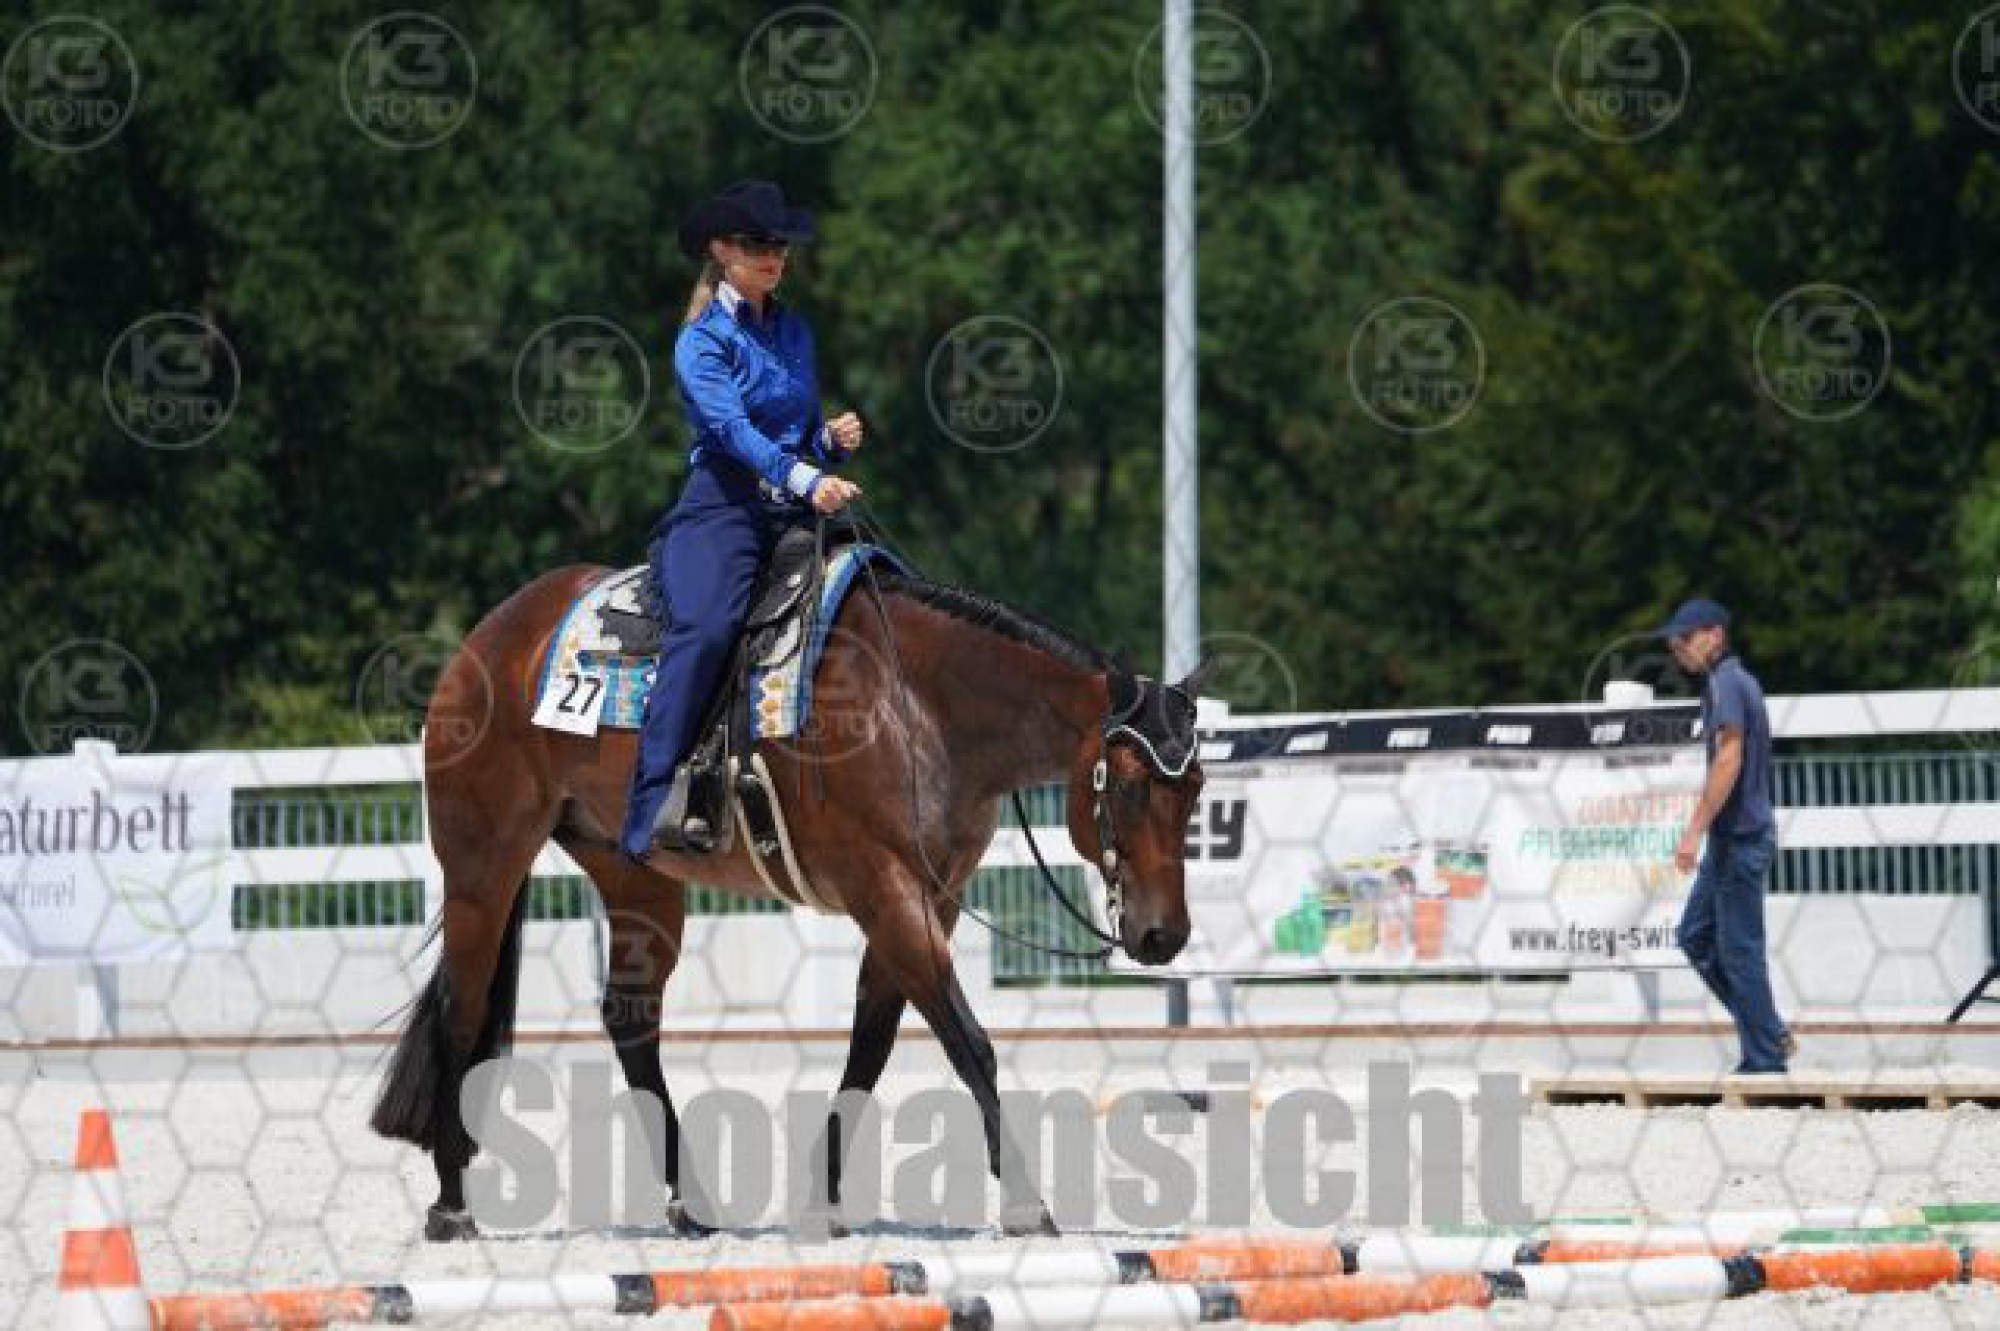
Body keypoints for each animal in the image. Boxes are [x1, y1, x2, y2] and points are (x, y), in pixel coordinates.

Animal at [369, 548, 1213, 1240]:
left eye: (1197, 786)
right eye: (1129, 785)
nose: (1163, 934)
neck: (917, 701)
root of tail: (493, 633)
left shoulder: (926, 898)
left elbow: (872, 1044)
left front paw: (822, 1202)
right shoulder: (886, 888)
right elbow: (967, 1041)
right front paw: (1028, 1205)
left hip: (634, 874)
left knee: (630, 1018)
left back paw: (688, 1206)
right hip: (483, 865)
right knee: (462, 1010)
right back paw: (452, 1204)